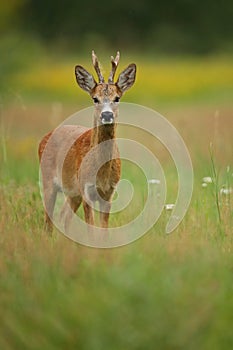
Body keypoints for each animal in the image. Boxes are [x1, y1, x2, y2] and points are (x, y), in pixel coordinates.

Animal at [38, 51, 137, 232]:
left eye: (117, 98)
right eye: (95, 99)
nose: (107, 115)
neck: (101, 172)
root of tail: (45, 137)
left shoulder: (108, 193)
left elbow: (103, 231)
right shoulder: (86, 190)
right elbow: (91, 229)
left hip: (72, 193)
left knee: (64, 216)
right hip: (48, 180)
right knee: (48, 221)